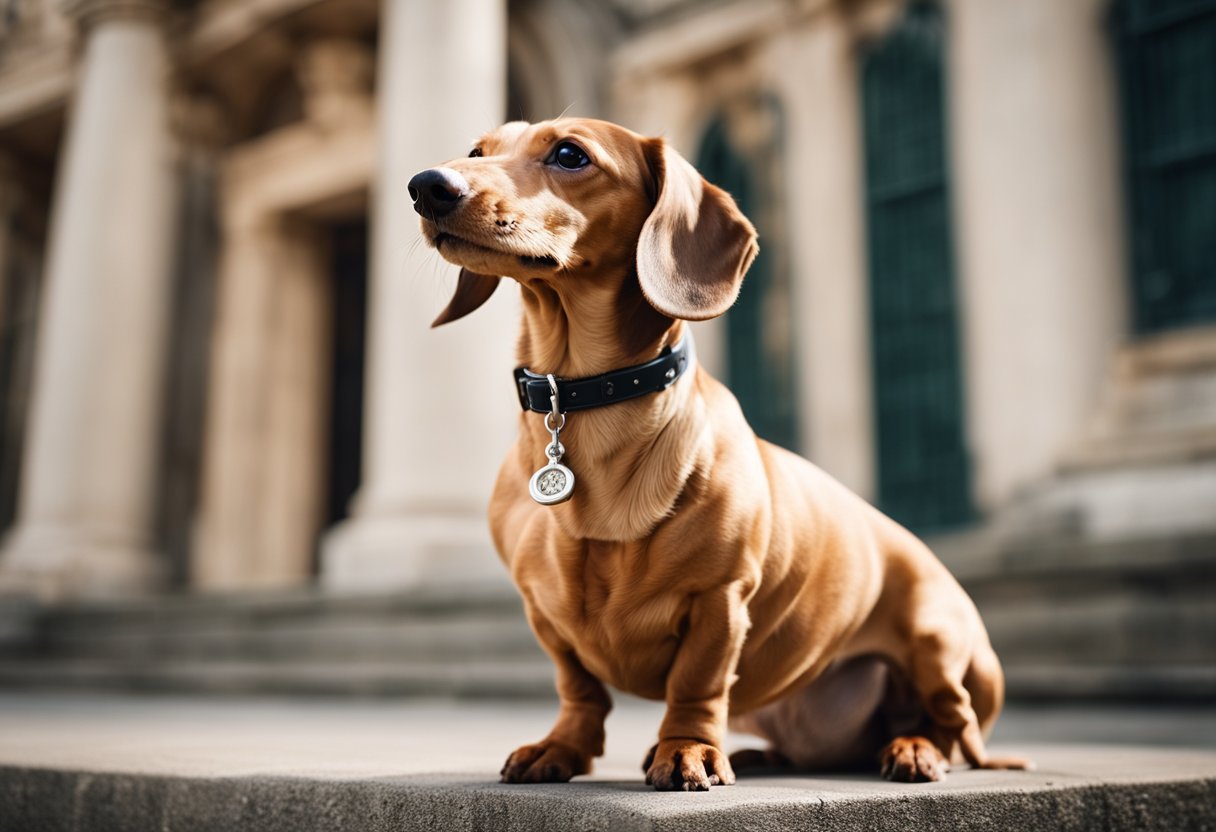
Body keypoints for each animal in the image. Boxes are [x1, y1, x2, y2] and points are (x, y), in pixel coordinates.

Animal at [408, 118, 1026, 793]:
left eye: (570, 155)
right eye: (478, 151)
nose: (427, 185)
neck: (586, 403)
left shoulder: (719, 600)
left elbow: (697, 684)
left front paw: (687, 750)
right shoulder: (544, 613)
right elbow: (580, 689)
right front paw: (561, 747)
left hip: (938, 637)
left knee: (954, 722)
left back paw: (915, 748)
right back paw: (767, 756)